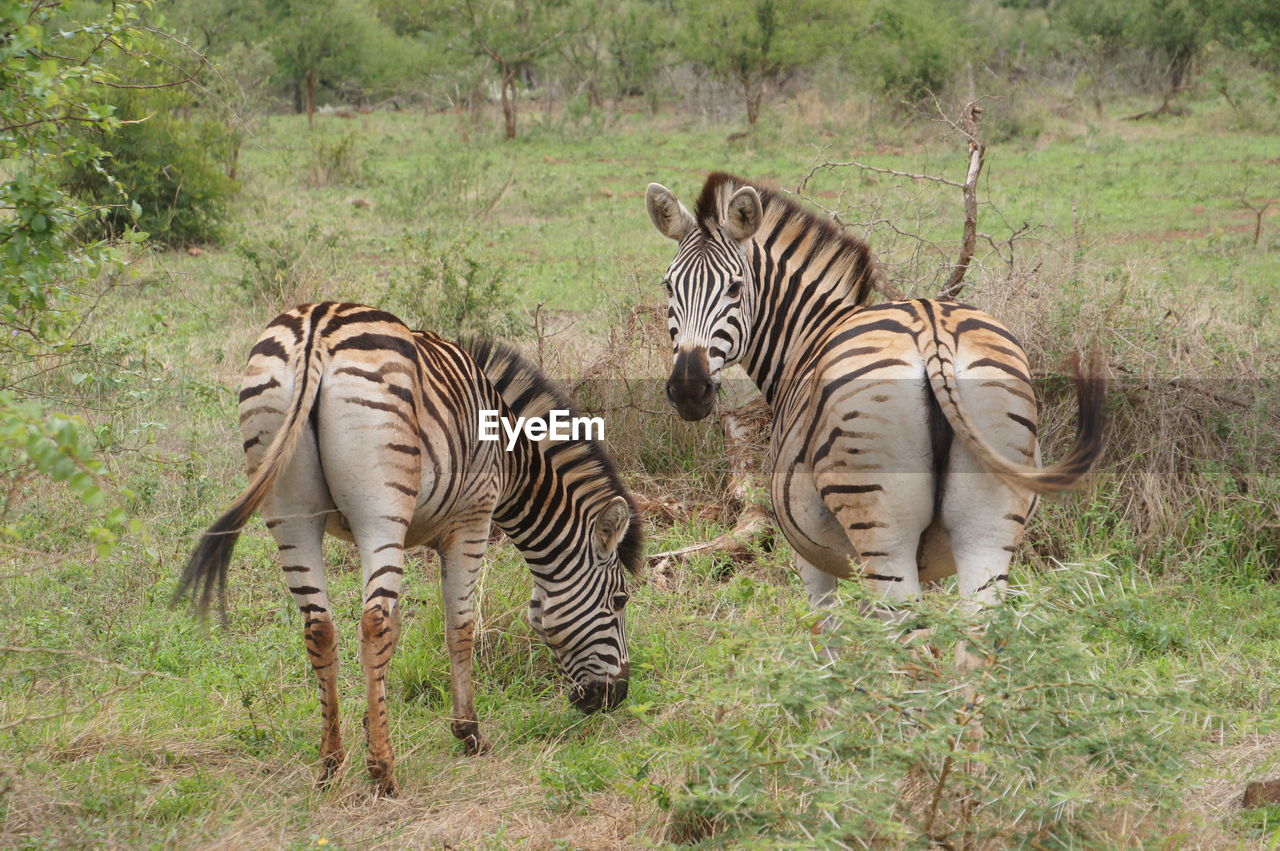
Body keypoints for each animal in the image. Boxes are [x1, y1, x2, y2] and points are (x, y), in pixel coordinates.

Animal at [175, 302, 645, 793]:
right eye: (620, 600)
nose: (616, 697)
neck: (511, 456)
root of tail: (316, 328)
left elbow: (397, 632)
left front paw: (371, 721)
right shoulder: (471, 519)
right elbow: (459, 627)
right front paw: (468, 732)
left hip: (290, 509)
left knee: (320, 627)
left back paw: (331, 764)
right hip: (379, 507)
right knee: (371, 623)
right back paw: (383, 772)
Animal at [645, 172, 1105, 624]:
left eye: (735, 288)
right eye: (669, 286)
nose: (688, 390)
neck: (811, 333)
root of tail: (933, 337)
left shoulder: (810, 556)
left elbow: (828, 633)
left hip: (881, 526)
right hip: (987, 522)